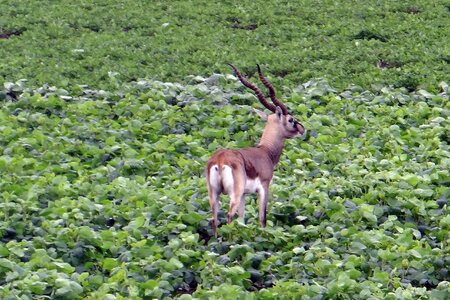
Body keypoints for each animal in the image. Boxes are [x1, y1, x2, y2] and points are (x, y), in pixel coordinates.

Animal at [207, 63, 306, 237]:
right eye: (291, 119)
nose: (302, 129)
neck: (265, 152)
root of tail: (219, 160)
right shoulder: (263, 188)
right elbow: (262, 218)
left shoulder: (245, 195)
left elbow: (242, 219)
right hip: (234, 194)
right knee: (228, 216)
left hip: (214, 195)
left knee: (215, 219)